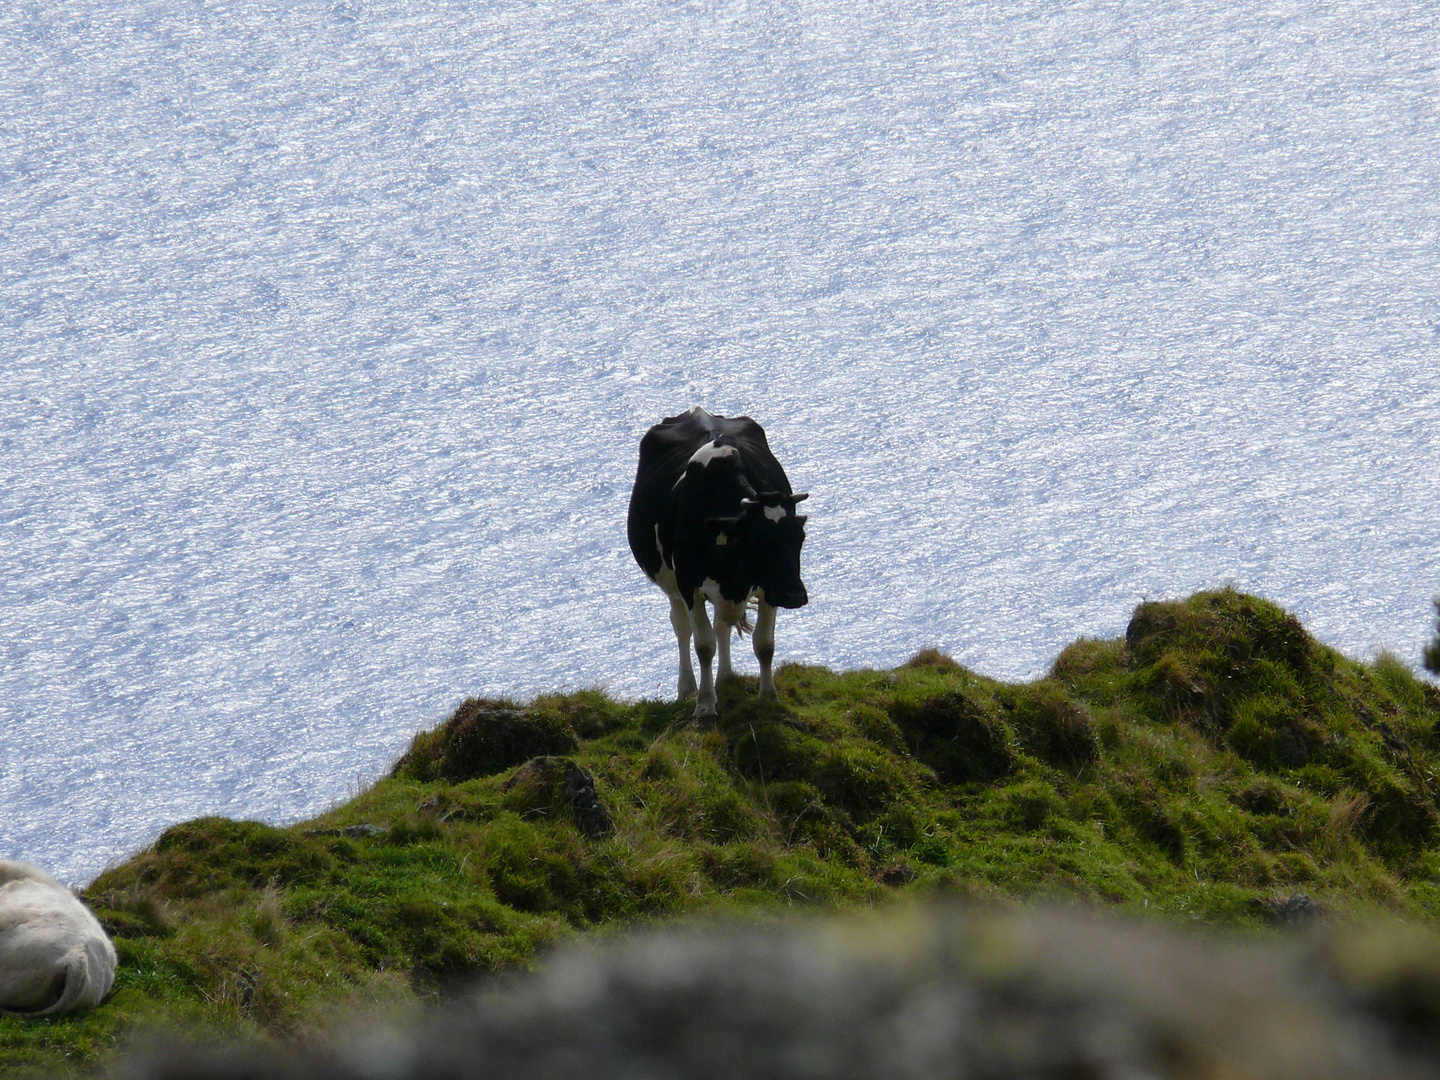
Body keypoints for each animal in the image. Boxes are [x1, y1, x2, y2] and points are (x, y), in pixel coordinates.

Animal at [630, 406, 812, 720]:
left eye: (799, 538)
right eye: (759, 541)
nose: (795, 595)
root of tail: (697, 410)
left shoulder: (768, 586)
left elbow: (764, 645)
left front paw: (769, 697)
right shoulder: (688, 582)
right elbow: (704, 645)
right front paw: (704, 705)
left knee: (721, 626)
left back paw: (725, 678)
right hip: (671, 584)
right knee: (682, 627)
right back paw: (687, 688)